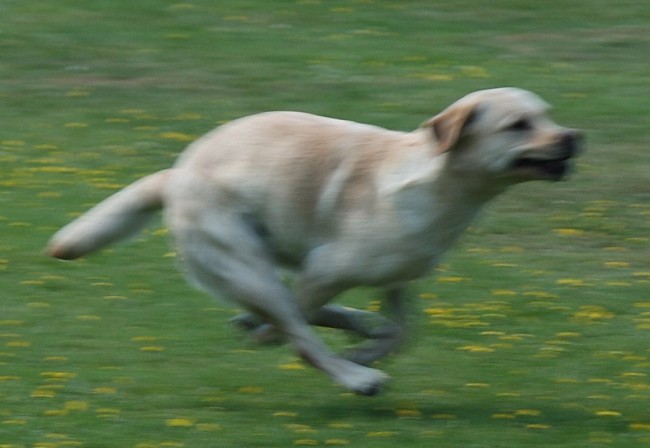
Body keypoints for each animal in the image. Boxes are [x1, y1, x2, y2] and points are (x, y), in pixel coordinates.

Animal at [46, 87, 584, 396]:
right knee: (296, 329)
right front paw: (357, 363)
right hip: (247, 264)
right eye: (519, 125)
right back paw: (356, 379)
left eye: (548, 115)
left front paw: (367, 348)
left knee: (296, 314)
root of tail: (176, 174)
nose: (574, 136)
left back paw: (346, 333)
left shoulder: (397, 280)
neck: (439, 185)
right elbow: (301, 324)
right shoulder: (326, 269)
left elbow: (403, 331)